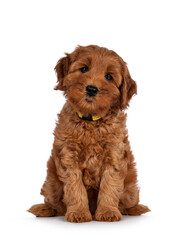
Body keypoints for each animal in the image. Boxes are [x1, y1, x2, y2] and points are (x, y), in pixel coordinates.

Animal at [27, 45, 149, 223]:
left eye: (109, 76)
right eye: (84, 69)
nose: (91, 89)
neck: (90, 120)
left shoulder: (114, 155)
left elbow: (110, 186)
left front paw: (107, 212)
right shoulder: (68, 155)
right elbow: (75, 187)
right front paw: (78, 212)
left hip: (131, 190)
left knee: (127, 202)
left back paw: (135, 209)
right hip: (51, 184)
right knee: (55, 203)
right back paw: (44, 209)